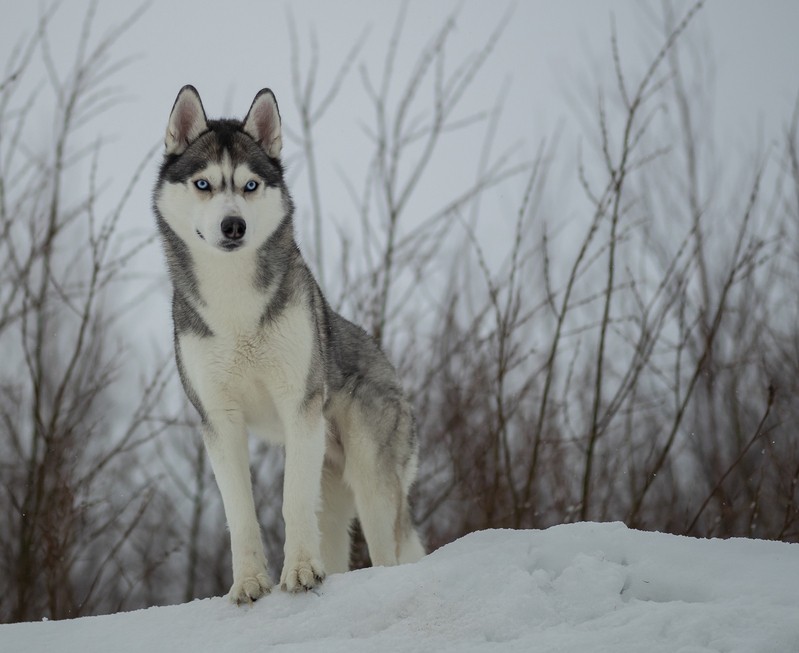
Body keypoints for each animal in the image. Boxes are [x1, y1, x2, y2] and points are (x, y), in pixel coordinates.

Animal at [152, 85, 424, 600]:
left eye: (250, 186)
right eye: (203, 184)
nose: (233, 226)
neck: (235, 305)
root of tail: (391, 369)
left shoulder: (298, 407)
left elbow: (290, 503)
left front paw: (298, 573)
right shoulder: (220, 421)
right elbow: (240, 514)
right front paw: (249, 584)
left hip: (371, 485)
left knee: (387, 548)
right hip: (334, 493)